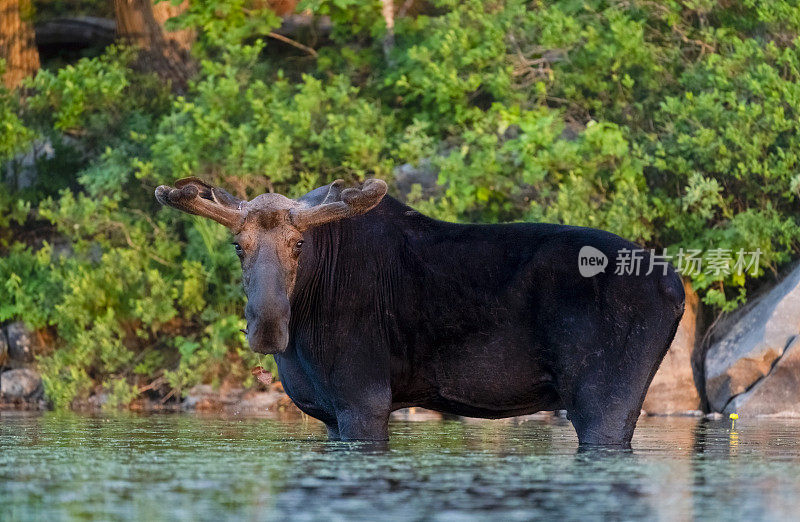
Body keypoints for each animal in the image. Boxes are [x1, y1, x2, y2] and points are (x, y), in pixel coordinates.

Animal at [158, 177, 688, 444]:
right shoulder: (329, 413)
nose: (267, 327)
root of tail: (678, 287)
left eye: (299, 244)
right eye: (237, 245)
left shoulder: (363, 400)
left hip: (603, 398)